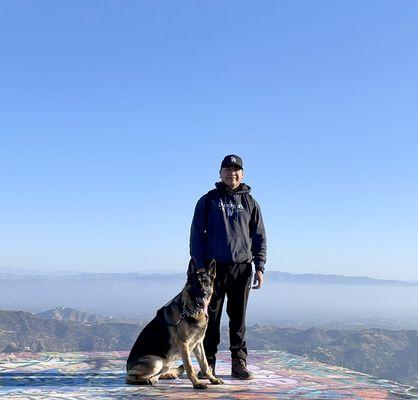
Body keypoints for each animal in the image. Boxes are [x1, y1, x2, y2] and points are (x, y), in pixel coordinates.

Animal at [125, 258, 224, 390]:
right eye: (196, 283)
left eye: (207, 283)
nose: (203, 293)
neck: (192, 310)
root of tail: (127, 367)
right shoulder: (184, 343)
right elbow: (189, 366)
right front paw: (196, 383)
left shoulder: (198, 343)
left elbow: (204, 364)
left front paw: (213, 379)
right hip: (156, 361)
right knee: (129, 377)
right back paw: (144, 381)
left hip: (165, 363)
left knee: (158, 375)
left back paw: (167, 375)